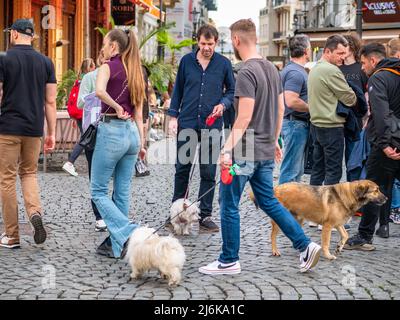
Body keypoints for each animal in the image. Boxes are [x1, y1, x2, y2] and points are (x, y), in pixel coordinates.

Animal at [248, 180, 386, 260]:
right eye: (376, 190)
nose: (387, 198)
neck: (347, 195)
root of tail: (276, 188)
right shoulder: (328, 226)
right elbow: (326, 243)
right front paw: (328, 255)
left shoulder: (338, 224)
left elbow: (345, 235)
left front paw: (339, 247)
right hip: (279, 218)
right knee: (273, 235)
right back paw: (275, 251)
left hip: (297, 219)